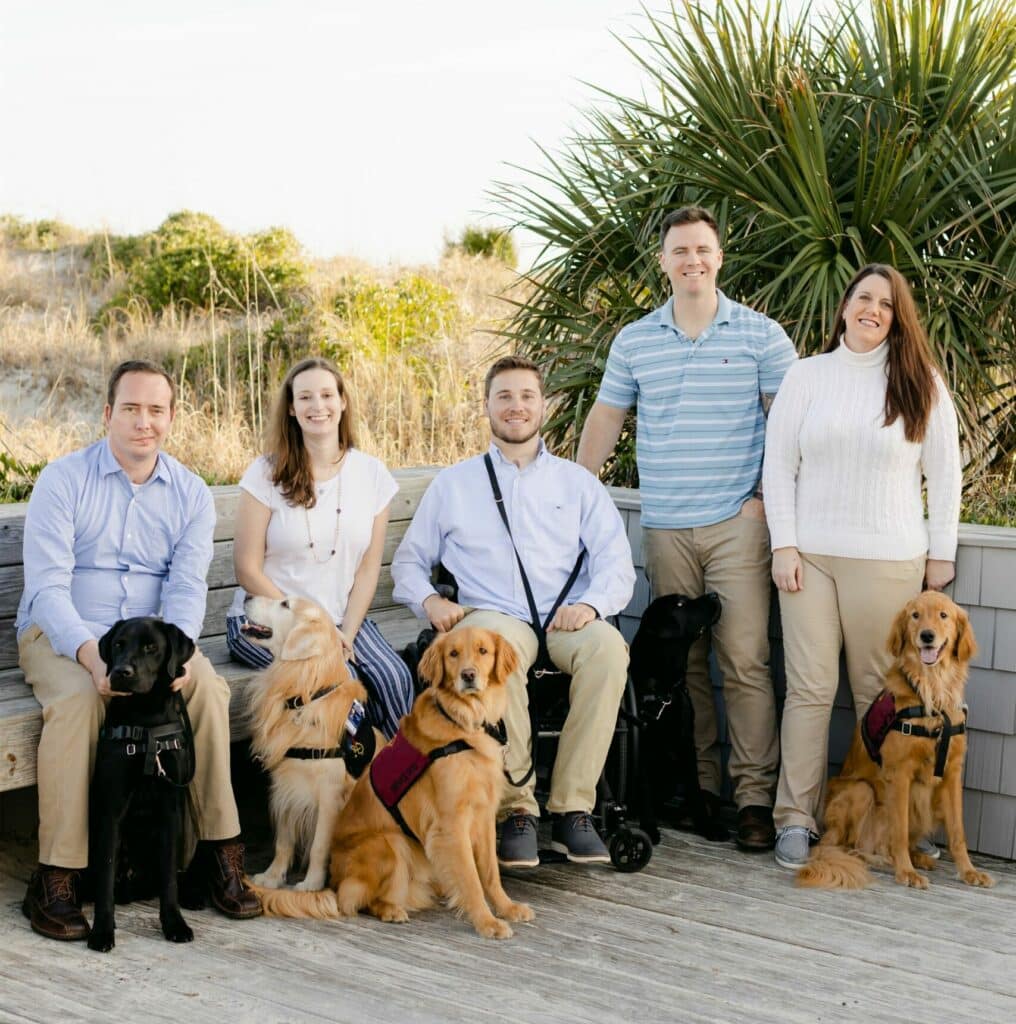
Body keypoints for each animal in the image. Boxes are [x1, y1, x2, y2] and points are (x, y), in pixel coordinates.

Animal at [88, 614, 198, 950]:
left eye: (151, 647)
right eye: (118, 645)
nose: (121, 672)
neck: (146, 721)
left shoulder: (171, 810)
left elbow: (169, 878)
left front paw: (174, 923)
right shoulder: (111, 809)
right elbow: (105, 877)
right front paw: (102, 930)